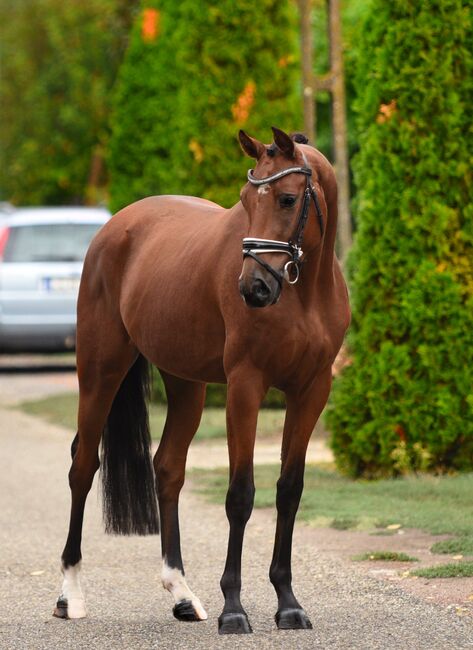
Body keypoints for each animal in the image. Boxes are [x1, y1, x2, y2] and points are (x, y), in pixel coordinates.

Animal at [53, 126, 348, 632]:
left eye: (288, 199)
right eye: (246, 200)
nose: (252, 288)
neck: (304, 294)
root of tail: (115, 226)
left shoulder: (312, 392)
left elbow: (289, 490)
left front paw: (288, 604)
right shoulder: (246, 387)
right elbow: (241, 494)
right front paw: (234, 609)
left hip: (185, 384)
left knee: (168, 468)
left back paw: (183, 595)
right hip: (100, 371)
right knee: (83, 466)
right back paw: (70, 595)